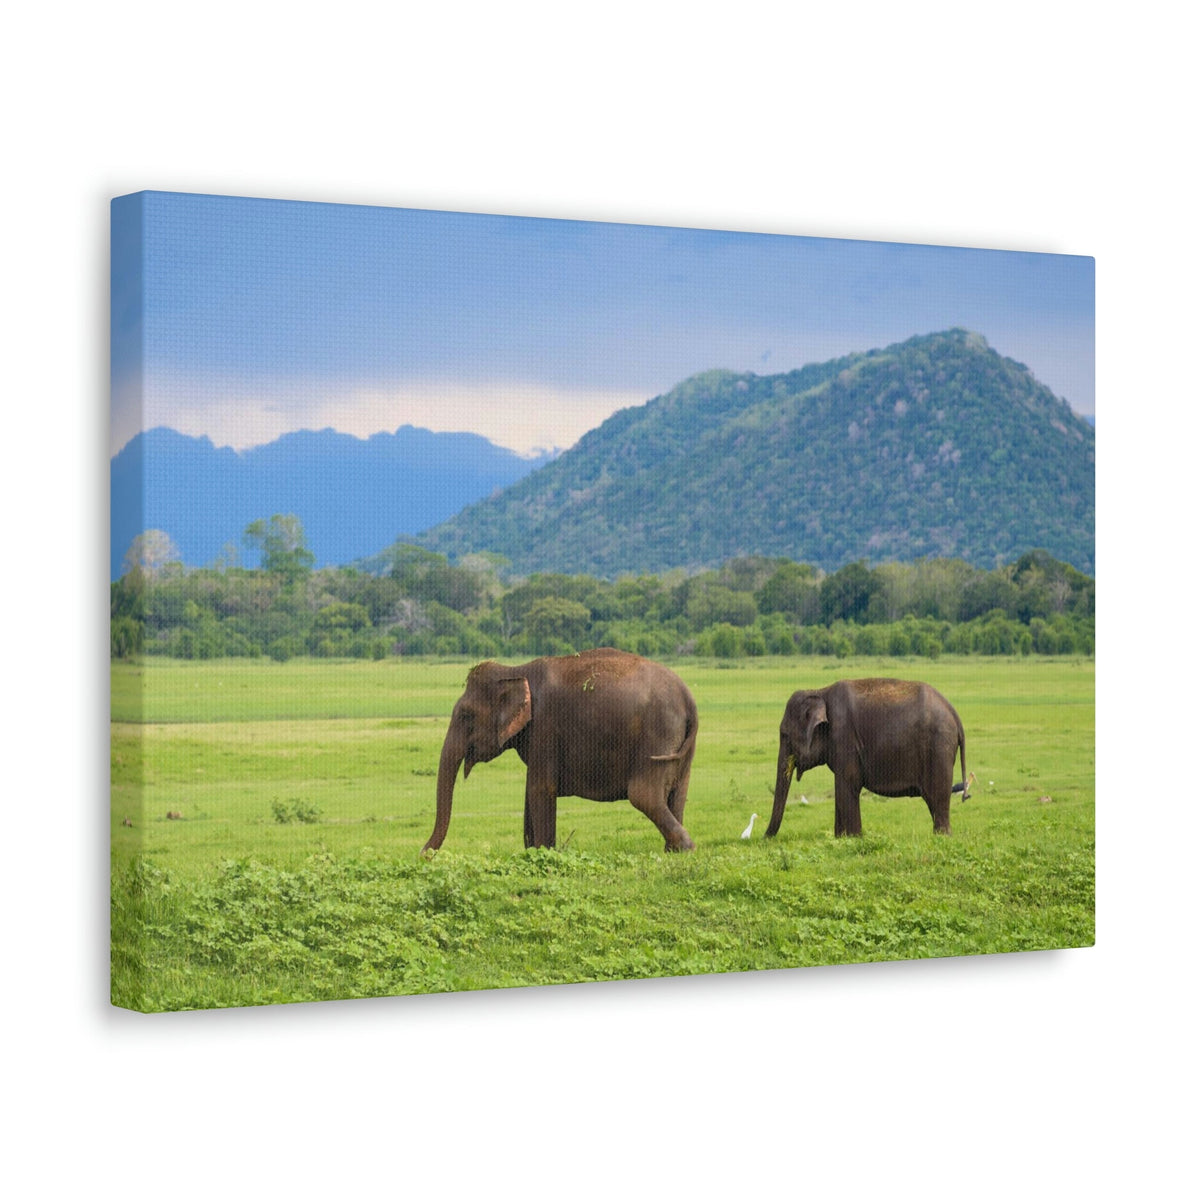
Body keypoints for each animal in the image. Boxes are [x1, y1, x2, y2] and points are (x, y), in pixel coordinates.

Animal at [423, 648, 699, 854]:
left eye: (466, 715)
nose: (424, 854)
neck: (516, 671)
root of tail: (688, 698)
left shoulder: (545, 727)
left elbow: (541, 789)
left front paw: (544, 852)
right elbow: (530, 792)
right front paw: (531, 852)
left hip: (657, 734)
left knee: (643, 795)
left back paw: (685, 848)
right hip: (681, 746)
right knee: (678, 793)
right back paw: (672, 852)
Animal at [765, 678, 968, 838]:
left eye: (784, 735)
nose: (764, 838)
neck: (819, 691)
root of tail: (955, 714)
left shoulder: (844, 737)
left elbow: (848, 785)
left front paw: (854, 838)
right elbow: (842, 789)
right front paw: (840, 838)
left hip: (938, 748)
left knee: (937, 799)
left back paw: (942, 836)